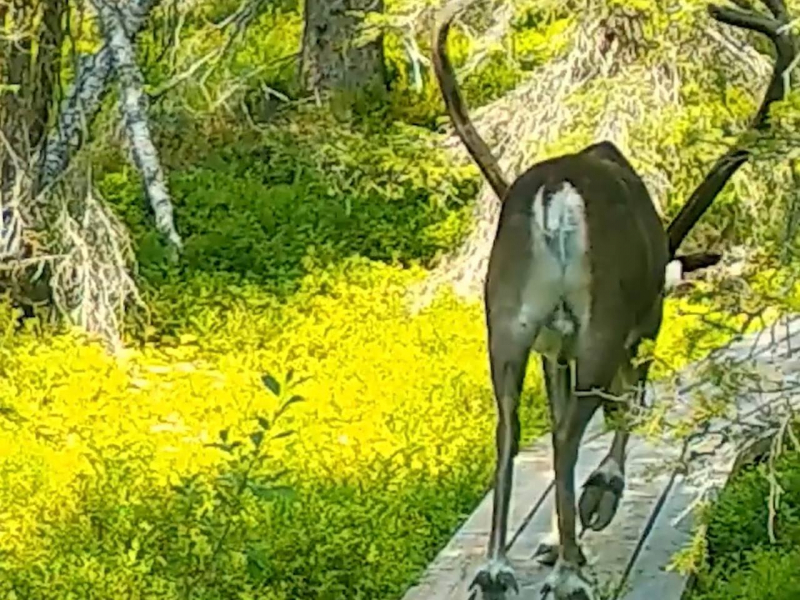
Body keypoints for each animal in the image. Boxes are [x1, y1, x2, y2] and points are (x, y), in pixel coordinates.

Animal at [431, 1, 797, 599]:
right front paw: (600, 495)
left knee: (510, 426)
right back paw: (569, 572)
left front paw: (554, 537)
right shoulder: (645, 321)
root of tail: (556, 199)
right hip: (600, 325)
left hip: (507, 322)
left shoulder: (553, 349)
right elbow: (633, 401)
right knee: (568, 430)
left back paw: (497, 567)